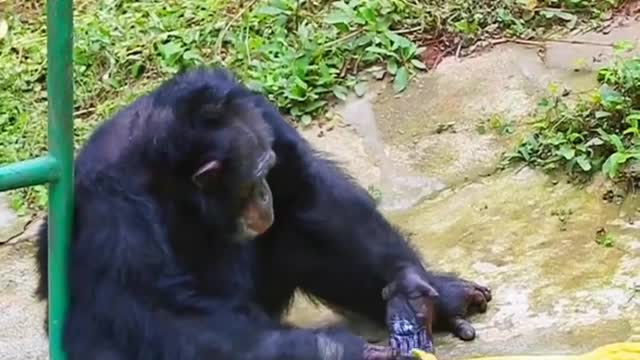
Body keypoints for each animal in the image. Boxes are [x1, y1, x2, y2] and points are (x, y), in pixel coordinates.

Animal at [33, 67, 490, 360]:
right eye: (254, 177)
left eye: (267, 169)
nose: (265, 194)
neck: (168, 171)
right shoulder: (111, 208)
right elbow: (161, 314)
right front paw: (342, 353)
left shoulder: (259, 111)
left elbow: (309, 195)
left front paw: (410, 293)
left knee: (298, 229)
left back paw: (443, 298)